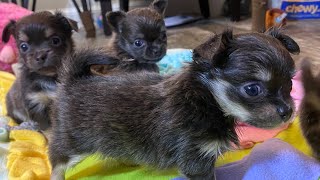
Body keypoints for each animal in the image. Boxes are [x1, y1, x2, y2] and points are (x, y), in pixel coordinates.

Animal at [50, 28, 300, 179]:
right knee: (57, 159)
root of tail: (75, 79)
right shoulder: (195, 159)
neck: (206, 101)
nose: (287, 112)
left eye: (289, 83)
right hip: (74, 141)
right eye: (252, 89)